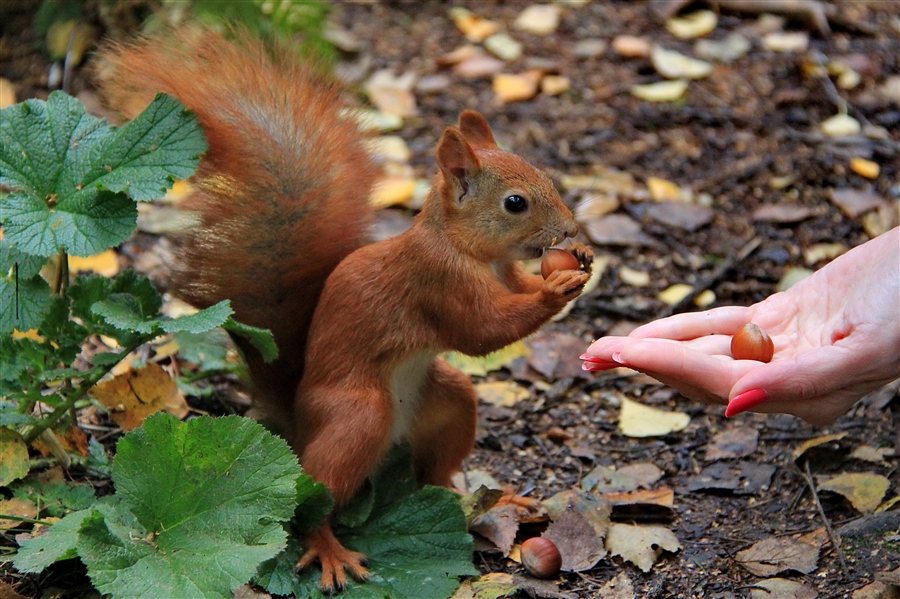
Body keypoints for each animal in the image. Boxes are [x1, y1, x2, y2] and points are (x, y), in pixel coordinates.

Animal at [96, 28, 592, 592]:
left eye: (545, 176)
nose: (571, 230)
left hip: (447, 401)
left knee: (432, 476)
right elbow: (481, 332)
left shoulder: (503, 273)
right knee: (312, 501)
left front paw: (571, 265)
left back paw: (480, 498)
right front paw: (556, 289)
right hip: (358, 416)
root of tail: (298, 420)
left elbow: (510, 298)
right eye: (515, 202)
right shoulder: (436, 283)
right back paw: (329, 550)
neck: (468, 250)